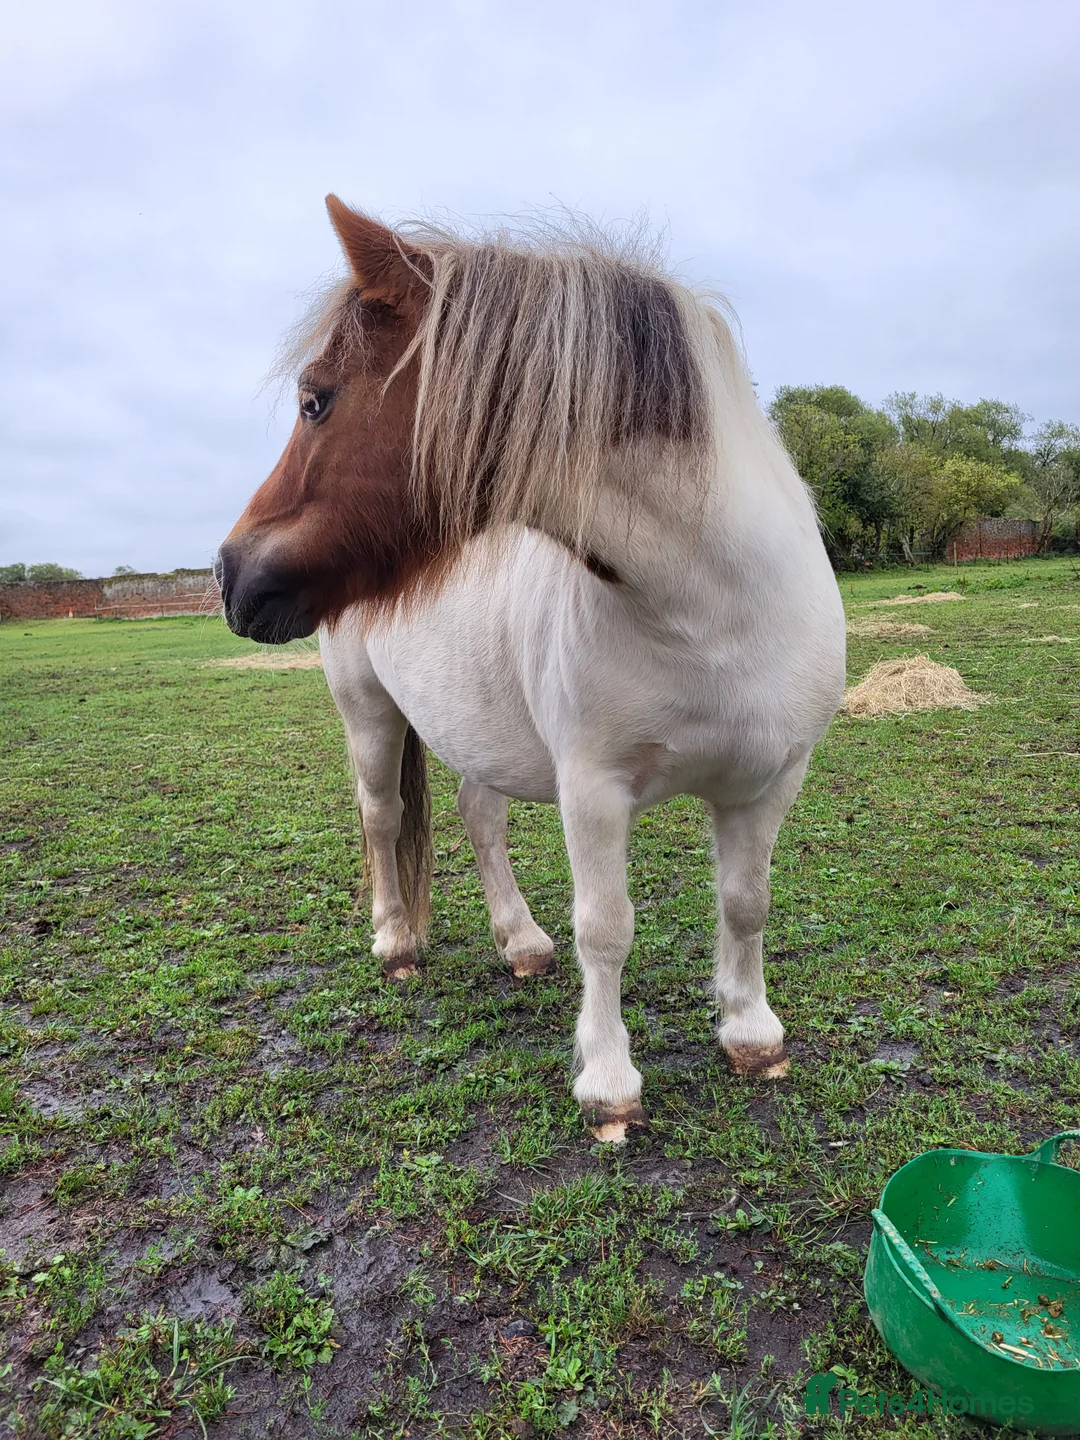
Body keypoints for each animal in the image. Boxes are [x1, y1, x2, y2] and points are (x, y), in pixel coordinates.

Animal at [217, 196, 846, 1143]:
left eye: (315, 399)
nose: (230, 575)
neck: (711, 606)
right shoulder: (593, 789)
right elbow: (607, 929)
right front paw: (611, 1086)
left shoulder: (769, 781)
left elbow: (745, 903)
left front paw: (752, 1034)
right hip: (369, 714)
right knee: (380, 816)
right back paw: (396, 944)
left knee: (480, 819)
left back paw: (520, 942)